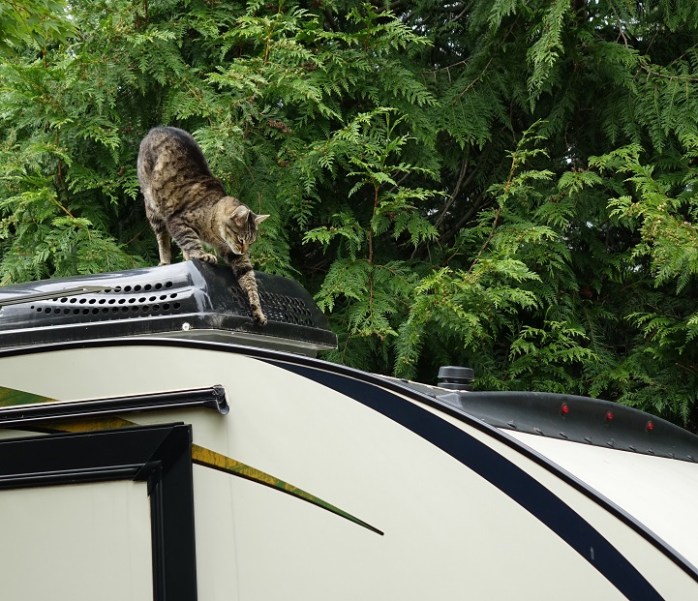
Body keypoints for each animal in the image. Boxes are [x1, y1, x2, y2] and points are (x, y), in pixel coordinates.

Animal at [137, 126, 270, 325]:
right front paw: (202, 255)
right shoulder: (178, 221)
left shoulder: (234, 255)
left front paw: (258, 311)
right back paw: (165, 260)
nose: (244, 250)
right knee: (163, 238)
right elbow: (191, 241)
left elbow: (249, 279)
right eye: (241, 239)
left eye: (251, 242)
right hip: (153, 206)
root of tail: (157, 128)